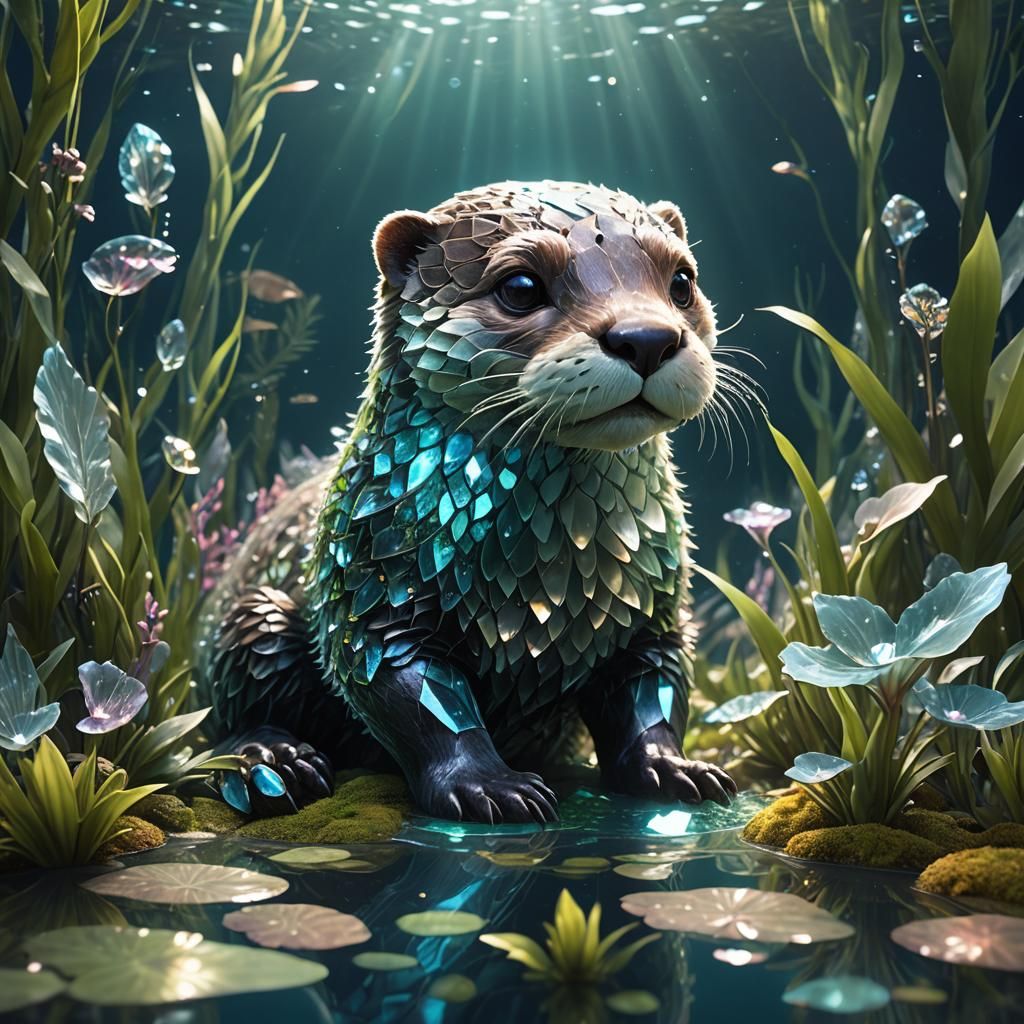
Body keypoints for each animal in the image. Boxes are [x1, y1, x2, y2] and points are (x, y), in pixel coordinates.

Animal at [205, 180, 737, 823]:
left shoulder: (656, 610)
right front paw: (488, 786)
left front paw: (674, 767)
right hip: (252, 617)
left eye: (681, 281)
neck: (548, 582)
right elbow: (420, 700)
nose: (647, 338)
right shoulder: (368, 588)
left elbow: (654, 691)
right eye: (521, 287)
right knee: (227, 715)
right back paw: (272, 764)